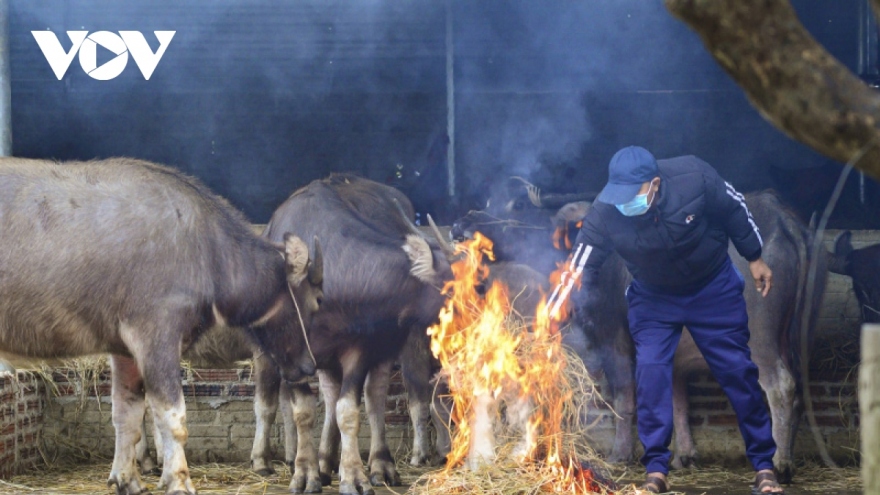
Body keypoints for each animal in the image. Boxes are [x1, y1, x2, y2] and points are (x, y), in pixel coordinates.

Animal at [0, 158, 324, 495]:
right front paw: (180, 480)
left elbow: (127, 416)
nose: (309, 366)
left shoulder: (124, 349)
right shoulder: (157, 337)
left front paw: (128, 480)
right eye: (317, 300)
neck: (206, 251)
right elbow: (174, 418)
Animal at [260, 174, 454, 495]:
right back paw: (323, 463)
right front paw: (305, 473)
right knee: (328, 396)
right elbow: (304, 411)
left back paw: (380, 465)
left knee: (373, 397)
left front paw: (353, 476)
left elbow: (349, 411)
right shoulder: (287, 355)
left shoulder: (359, 349)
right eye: (452, 286)